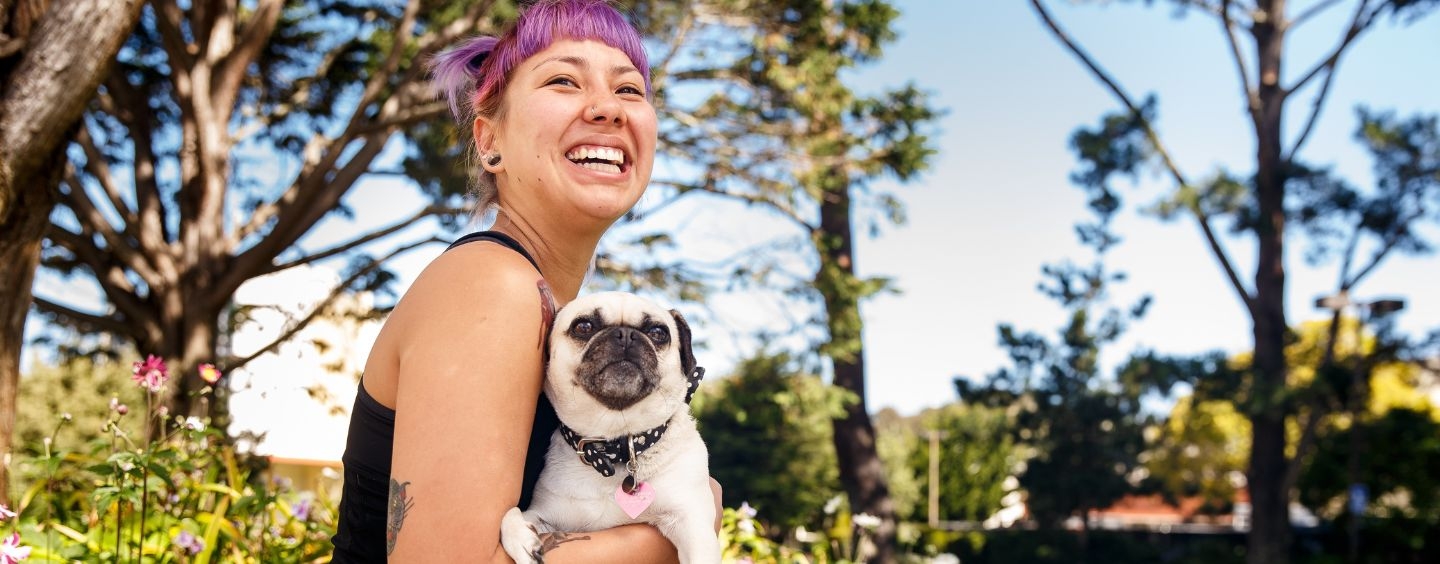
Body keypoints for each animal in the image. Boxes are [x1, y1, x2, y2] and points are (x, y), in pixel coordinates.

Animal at [501, 290, 720, 564]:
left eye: (658, 332)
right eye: (584, 327)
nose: (625, 334)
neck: (614, 447)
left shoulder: (691, 522)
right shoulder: (547, 515)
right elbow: (512, 515)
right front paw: (522, 538)